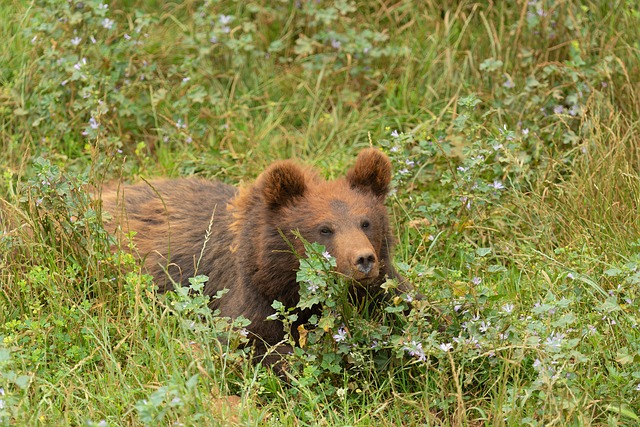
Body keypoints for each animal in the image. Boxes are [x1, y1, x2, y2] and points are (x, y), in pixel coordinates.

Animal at [102, 149, 408, 362]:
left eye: (366, 222)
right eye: (325, 229)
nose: (363, 260)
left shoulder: (382, 288)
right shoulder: (249, 295)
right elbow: (256, 341)